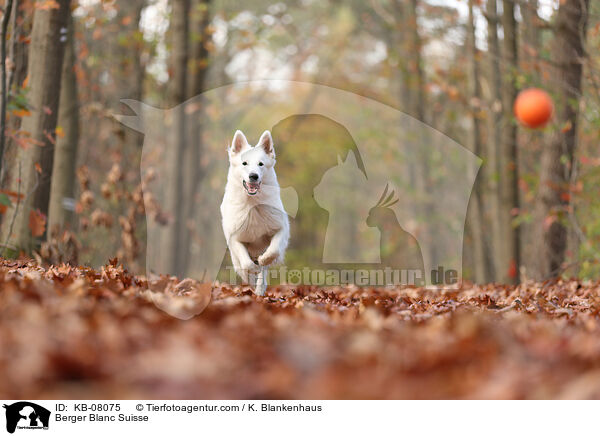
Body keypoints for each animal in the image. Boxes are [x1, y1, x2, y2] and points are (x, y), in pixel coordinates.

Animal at [220, 130, 290, 296]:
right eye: (244, 163)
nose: (253, 176)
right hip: (234, 256)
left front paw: (263, 260)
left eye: (261, 164)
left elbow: (273, 251)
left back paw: (259, 289)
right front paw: (253, 269)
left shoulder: (280, 229)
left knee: (262, 274)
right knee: (243, 269)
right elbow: (246, 264)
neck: (253, 204)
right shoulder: (235, 239)